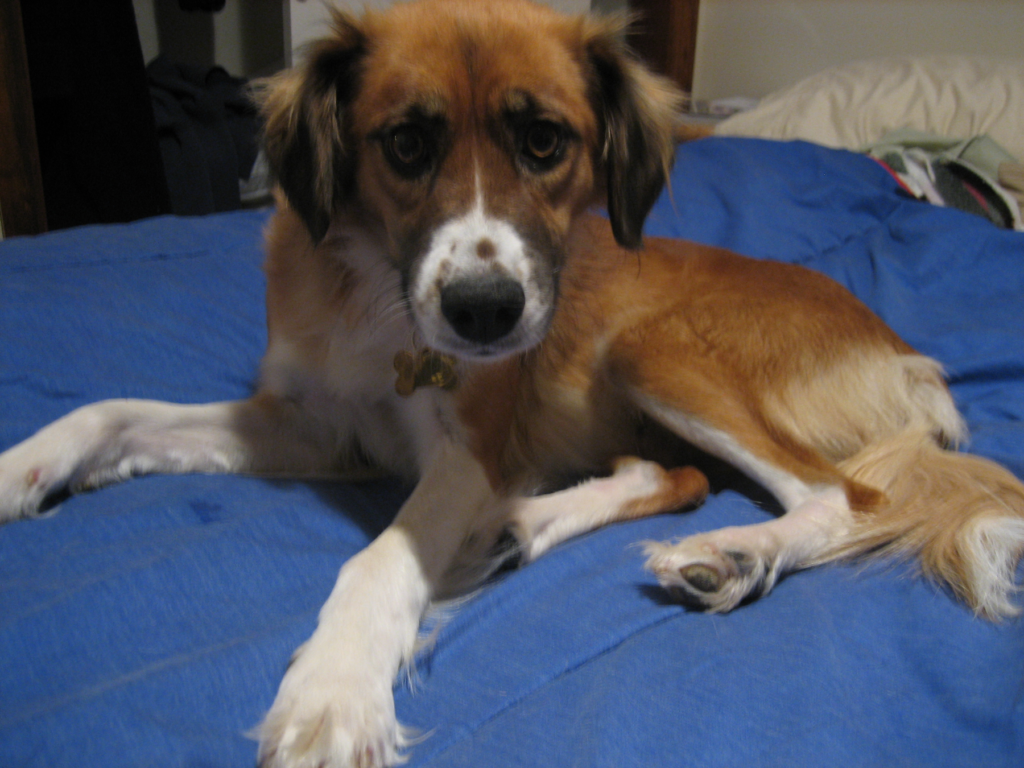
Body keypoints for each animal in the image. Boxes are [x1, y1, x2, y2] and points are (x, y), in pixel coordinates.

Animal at [2, 1, 1024, 768]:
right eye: (405, 144)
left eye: (544, 142)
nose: (485, 313)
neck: (373, 296)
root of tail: (902, 351)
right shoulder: (312, 426)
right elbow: (114, 409)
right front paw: (24, 468)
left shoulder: (471, 450)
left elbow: (379, 556)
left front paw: (334, 692)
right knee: (676, 475)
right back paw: (516, 531)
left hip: (647, 349)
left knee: (840, 496)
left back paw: (732, 554)